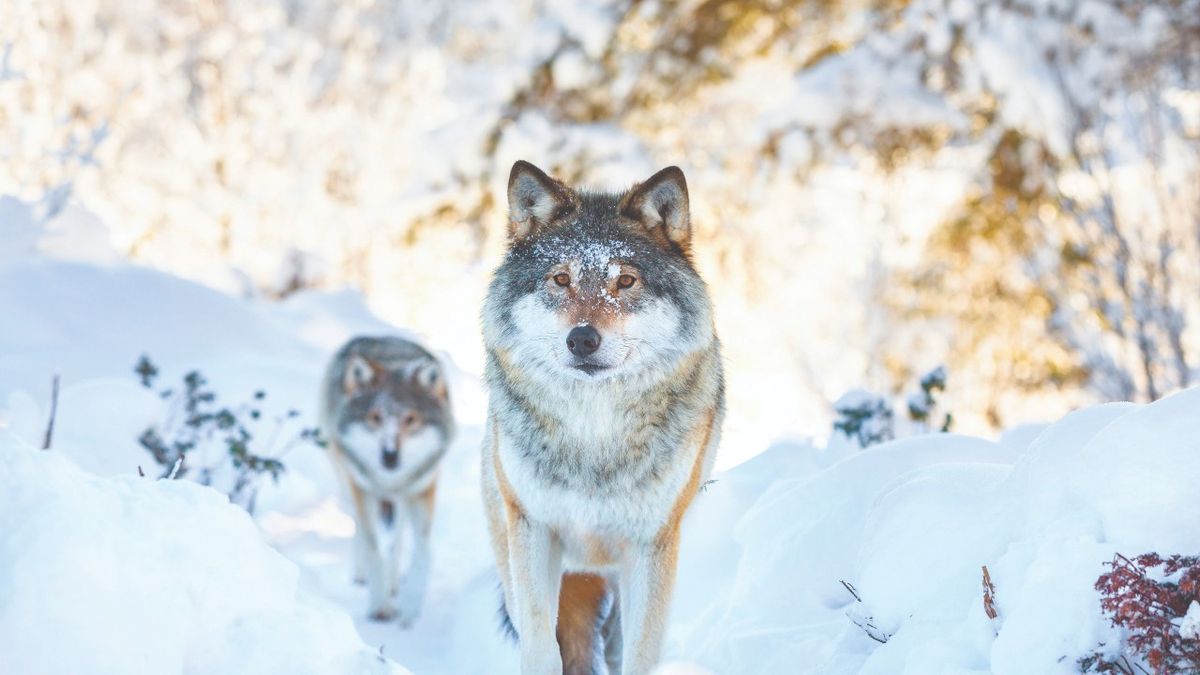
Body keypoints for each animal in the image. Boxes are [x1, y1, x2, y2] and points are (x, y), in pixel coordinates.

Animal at [319, 333, 453, 624]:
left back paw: (393, 582)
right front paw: (380, 605)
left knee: (397, 537)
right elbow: (372, 548)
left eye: (410, 419)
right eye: (375, 417)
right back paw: (362, 574)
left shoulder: (421, 490)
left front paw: (411, 605)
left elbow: (423, 552)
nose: (389, 456)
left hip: (401, 500)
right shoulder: (363, 490)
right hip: (347, 484)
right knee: (359, 528)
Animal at [477, 159, 720, 667]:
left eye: (625, 281)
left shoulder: (652, 544)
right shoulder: (534, 531)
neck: (593, 433)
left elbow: (641, 655)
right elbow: (541, 649)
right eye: (561, 279)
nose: (582, 339)